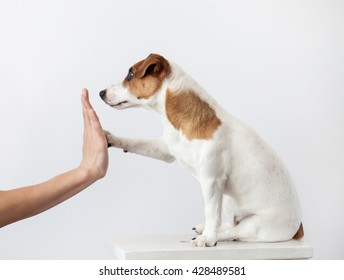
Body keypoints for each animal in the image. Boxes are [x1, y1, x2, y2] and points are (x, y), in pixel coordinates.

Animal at [99, 53, 304, 246]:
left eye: (130, 74)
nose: (101, 92)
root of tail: (299, 228)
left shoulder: (211, 181)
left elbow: (211, 212)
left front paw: (208, 239)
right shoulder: (166, 149)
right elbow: (137, 142)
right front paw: (111, 138)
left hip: (255, 225)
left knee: (233, 232)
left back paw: (210, 235)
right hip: (228, 200)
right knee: (229, 224)